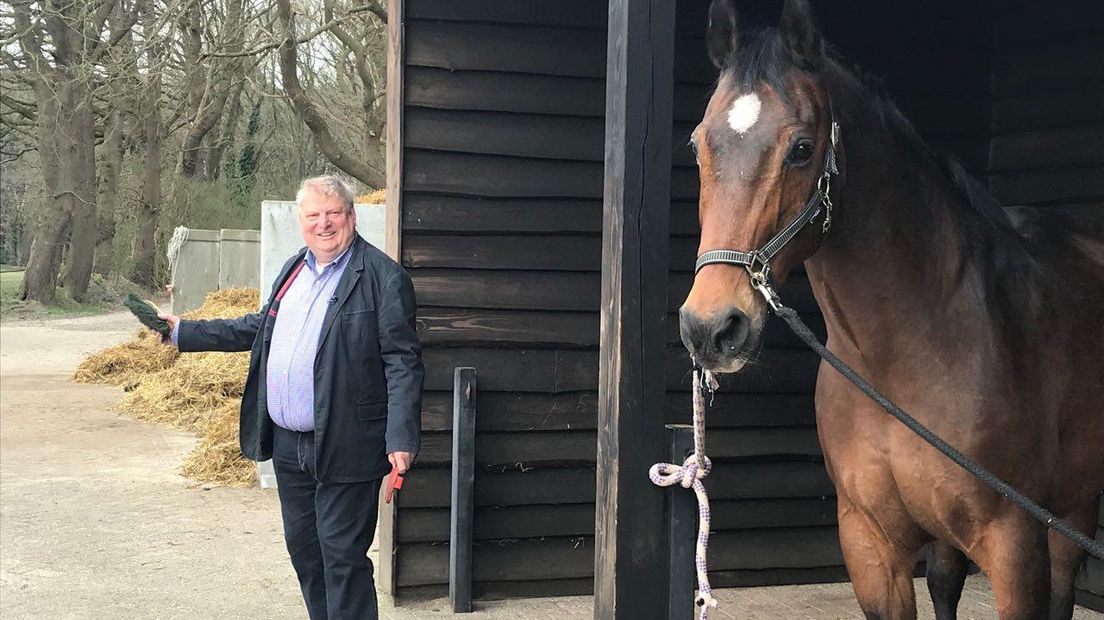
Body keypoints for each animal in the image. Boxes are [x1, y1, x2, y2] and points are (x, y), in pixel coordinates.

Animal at [680, 1, 1104, 617]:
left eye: (802, 148)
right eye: (698, 145)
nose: (712, 328)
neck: (907, 353)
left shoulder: (1015, 544)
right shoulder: (870, 543)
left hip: (1072, 508)